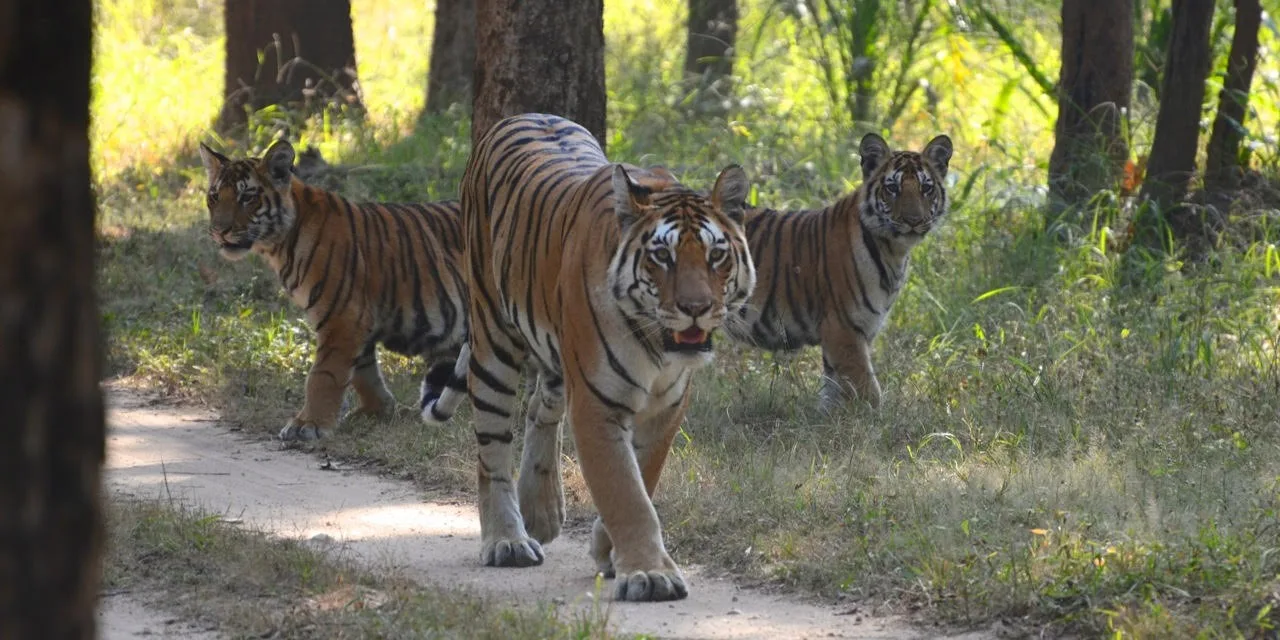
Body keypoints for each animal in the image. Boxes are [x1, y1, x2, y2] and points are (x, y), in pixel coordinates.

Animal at [197, 139, 468, 441]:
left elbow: (324, 373)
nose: (219, 231)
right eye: (214, 197)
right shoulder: (360, 320)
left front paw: (308, 424)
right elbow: (363, 372)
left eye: (247, 197)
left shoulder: (342, 316)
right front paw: (377, 410)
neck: (280, 244)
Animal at [438, 113, 754, 603]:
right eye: (662, 256)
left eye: (716, 255)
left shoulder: (666, 405)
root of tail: (521, 115)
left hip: (554, 352)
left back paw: (541, 510)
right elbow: (624, 490)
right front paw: (649, 573)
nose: (696, 307)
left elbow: (643, 476)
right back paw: (508, 539)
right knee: (491, 450)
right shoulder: (596, 402)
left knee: (540, 408)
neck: (656, 345)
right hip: (493, 338)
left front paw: (612, 551)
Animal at [724, 132, 953, 411]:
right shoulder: (843, 327)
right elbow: (867, 389)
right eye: (892, 188)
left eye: (926, 188)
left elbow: (834, 386)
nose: (913, 220)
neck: (894, 251)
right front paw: (875, 418)